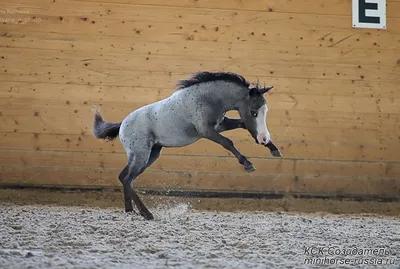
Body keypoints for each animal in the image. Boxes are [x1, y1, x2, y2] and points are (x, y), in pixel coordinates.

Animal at [92, 71, 282, 220]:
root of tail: (122, 125)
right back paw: (146, 214)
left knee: (125, 177)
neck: (207, 98)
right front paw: (248, 164)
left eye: (265, 111)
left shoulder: (220, 125)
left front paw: (274, 149)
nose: (263, 138)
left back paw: (130, 211)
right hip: (141, 155)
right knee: (127, 179)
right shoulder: (206, 131)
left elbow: (242, 125)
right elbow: (228, 142)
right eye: (253, 112)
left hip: (150, 154)